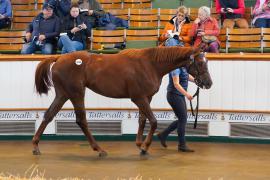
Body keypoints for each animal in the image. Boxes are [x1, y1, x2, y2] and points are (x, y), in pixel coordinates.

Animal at [32, 46, 212, 156]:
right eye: (200, 62)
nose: (208, 83)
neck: (150, 64)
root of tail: (58, 58)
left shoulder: (146, 98)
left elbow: (143, 120)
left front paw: (140, 144)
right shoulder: (139, 98)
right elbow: (153, 121)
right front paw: (145, 146)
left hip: (63, 94)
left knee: (49, 115)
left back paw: (35, 146)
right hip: (76, 93)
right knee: (81, 120)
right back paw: (99, 149)